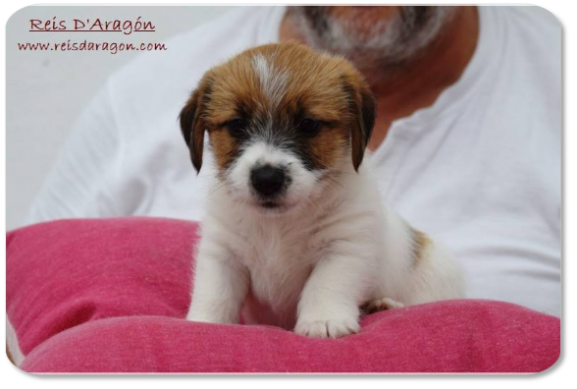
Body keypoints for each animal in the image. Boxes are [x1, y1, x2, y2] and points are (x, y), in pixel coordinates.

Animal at [178, 41, 462, 336]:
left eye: (309, 124)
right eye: (236, 125)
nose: (267, 178)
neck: (278, 225)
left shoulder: (344, 246)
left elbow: (325, 282)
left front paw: (322, 320)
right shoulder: (222, 252)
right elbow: (215, 291)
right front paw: (205, 322)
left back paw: (384, 304)